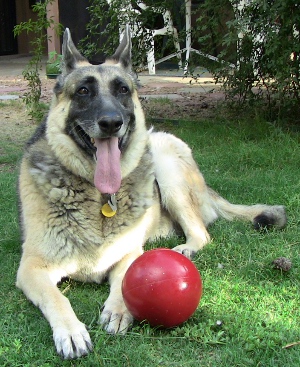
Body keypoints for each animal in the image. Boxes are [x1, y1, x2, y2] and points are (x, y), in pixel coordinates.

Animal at [15, 26, 286, 360]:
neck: (98, 197)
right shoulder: (32, 268)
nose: (111, 123)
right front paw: (70, 331)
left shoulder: (129, 253)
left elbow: (123, 281)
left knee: (202, 233)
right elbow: (57, 298)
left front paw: (119, 310)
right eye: (83, 91)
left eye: (122, 90)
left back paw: (184, 248)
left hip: (164, 163)